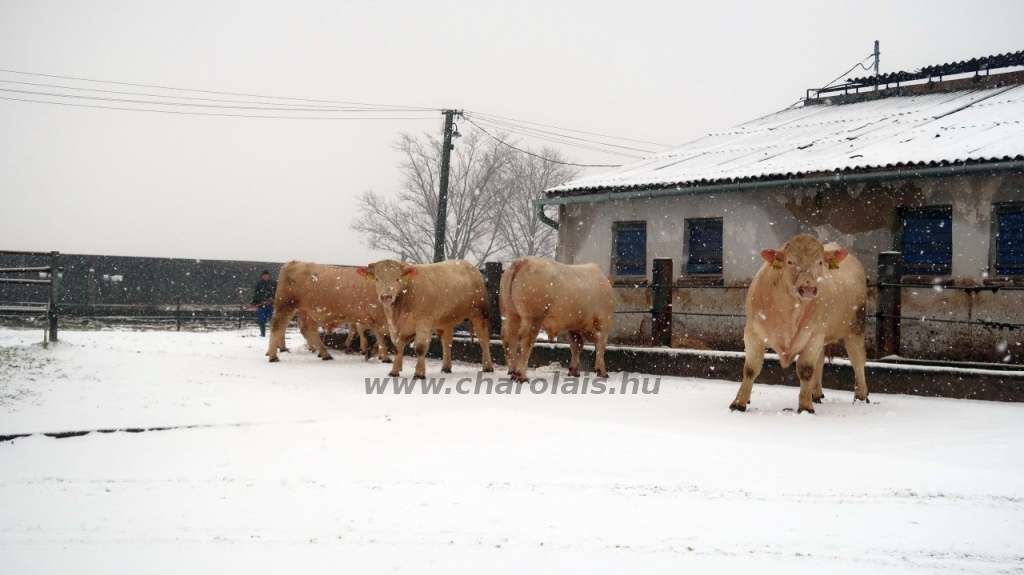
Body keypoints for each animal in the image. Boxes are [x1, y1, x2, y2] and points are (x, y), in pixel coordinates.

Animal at [356, 258, 491, 376]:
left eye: (397, 279)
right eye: (377, 278)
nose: (386, 296)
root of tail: (470, 266)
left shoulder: (424, 322)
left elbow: (420, 347)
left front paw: (419, 373)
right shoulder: (392, 324)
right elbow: (397, 347)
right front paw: (394, 371)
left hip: (479, 314)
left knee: (483, 339)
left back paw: (488, 367)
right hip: (445, 320)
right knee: (447, 342)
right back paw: (446, 367)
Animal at [729, 233, 872, 411]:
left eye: (820, 262)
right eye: (790, 261)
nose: (808, 289)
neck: (790, 311)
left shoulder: (813, 335)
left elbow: (806, 369)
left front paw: (805, 407)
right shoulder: (752, 332)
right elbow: (750, 368)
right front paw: (739, 403)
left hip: (855, 324)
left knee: (857, 357)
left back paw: (861, 395)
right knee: (821, 360)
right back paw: (815, 393)